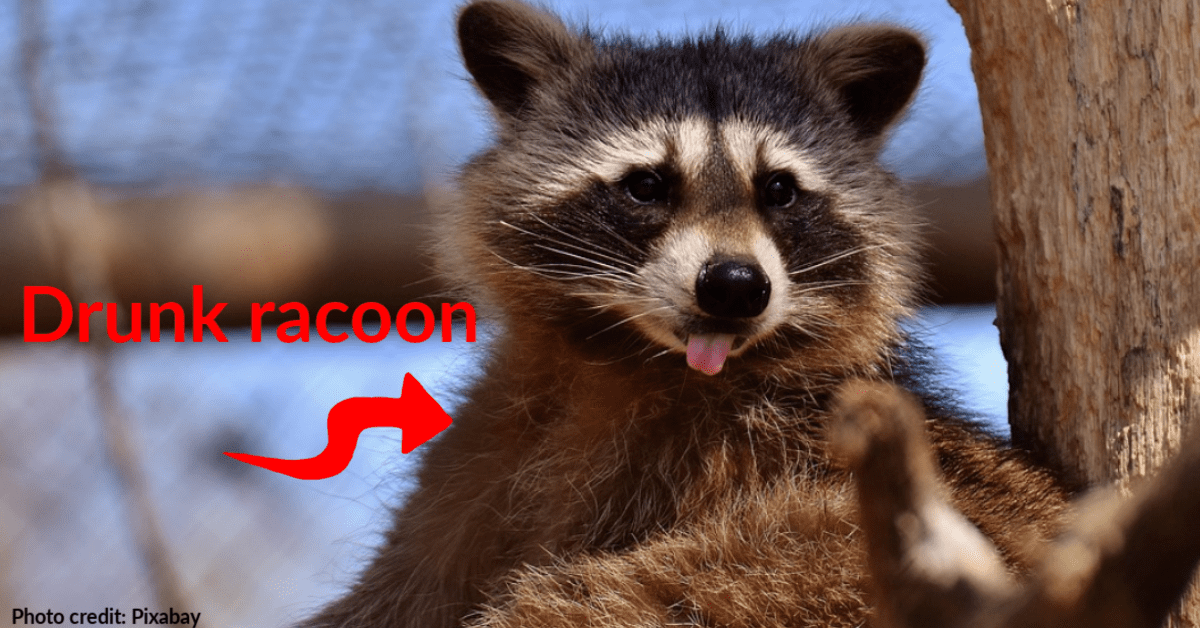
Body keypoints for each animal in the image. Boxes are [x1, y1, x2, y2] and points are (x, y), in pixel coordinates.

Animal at [300, 2, 1068, 626]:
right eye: (646, 185)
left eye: (780, 191)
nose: (735, 285)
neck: (636, 360)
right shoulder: (491, 449)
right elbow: (400, 585)